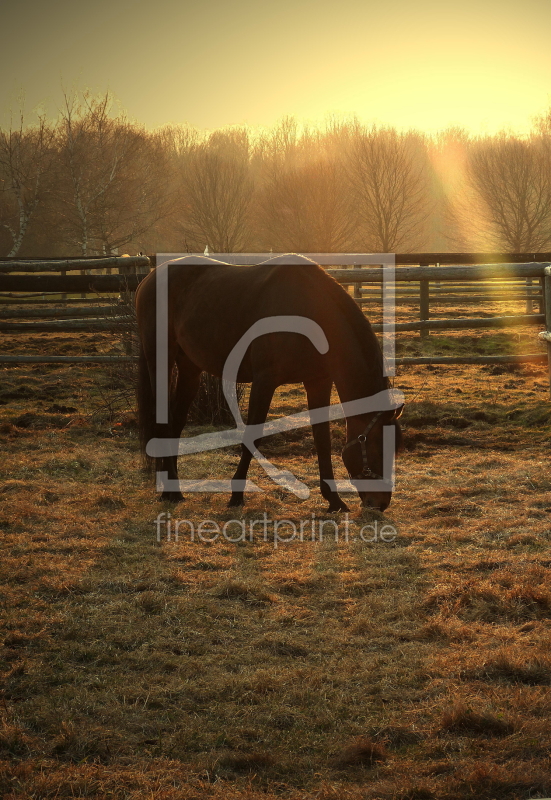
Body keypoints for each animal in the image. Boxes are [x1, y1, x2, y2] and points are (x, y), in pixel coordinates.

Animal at [136, 253, 404, 510]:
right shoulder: (264, 382)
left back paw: (170, 488)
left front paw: (334, 501)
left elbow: (322, 440)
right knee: (163, 424)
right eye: (378, 446)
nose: (380, 504)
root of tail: (149, 279)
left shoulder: (318, 382)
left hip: (190, 368)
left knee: (176, 423)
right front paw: (236, 496)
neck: (308, 313)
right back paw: (173, 492)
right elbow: (253, 436)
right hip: (160, 361)